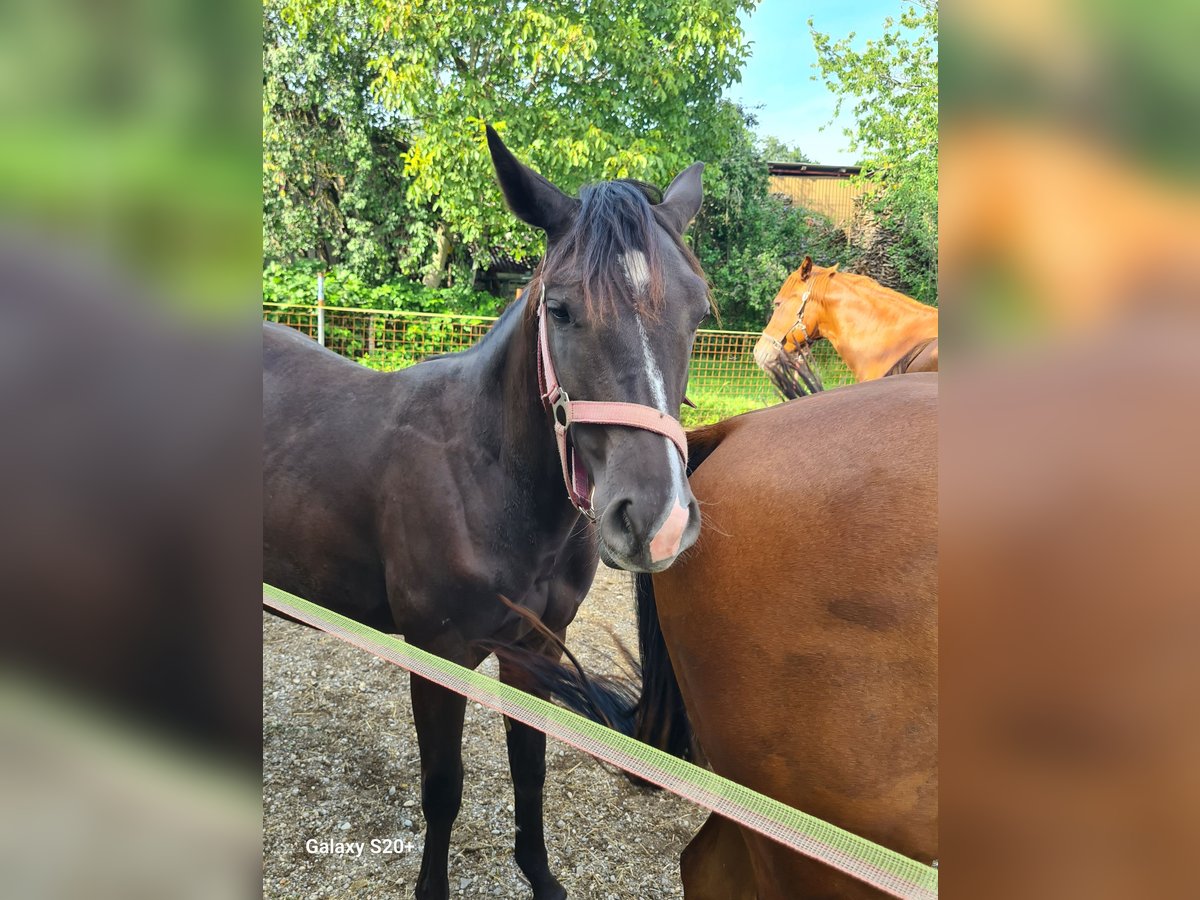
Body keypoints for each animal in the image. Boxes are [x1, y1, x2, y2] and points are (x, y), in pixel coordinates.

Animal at [264, 127, 710, 900]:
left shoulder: (534, 650)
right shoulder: (437, 656)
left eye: (698, 313)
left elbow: (529, 771)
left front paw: (540, 875)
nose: (659, 521)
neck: (483, 475)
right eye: (560, 310)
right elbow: (444, 788)